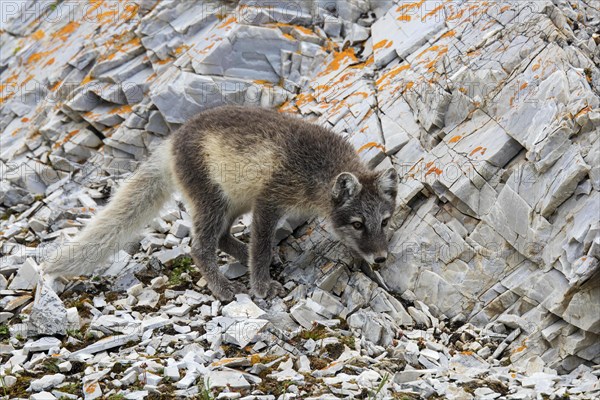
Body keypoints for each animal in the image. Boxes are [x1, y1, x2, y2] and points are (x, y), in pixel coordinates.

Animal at [43, 106, 398, 300]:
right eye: (357, 223)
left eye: (384, 222)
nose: (381, 258)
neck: (319, 171)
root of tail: (171, 142)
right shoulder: (269, 199)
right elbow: (261, 246)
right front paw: (261, 286)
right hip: (212, 201)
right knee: (200, 248)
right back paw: (224, 288)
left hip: (235, 201)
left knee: (224, 237)